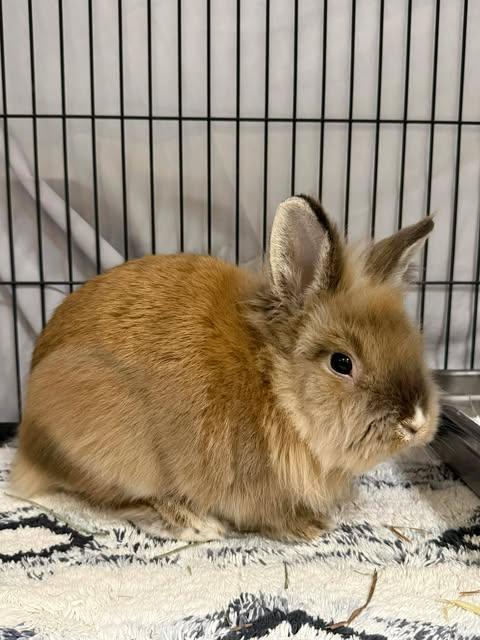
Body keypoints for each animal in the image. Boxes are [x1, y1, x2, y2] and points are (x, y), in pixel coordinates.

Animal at [11, 195, 439, 541]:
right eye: (341, 362)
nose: (416, 422)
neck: (275, 388)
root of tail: (30, 433)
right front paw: (308, 527)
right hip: (116, 449)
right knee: (109, 498)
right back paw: (192, 523)